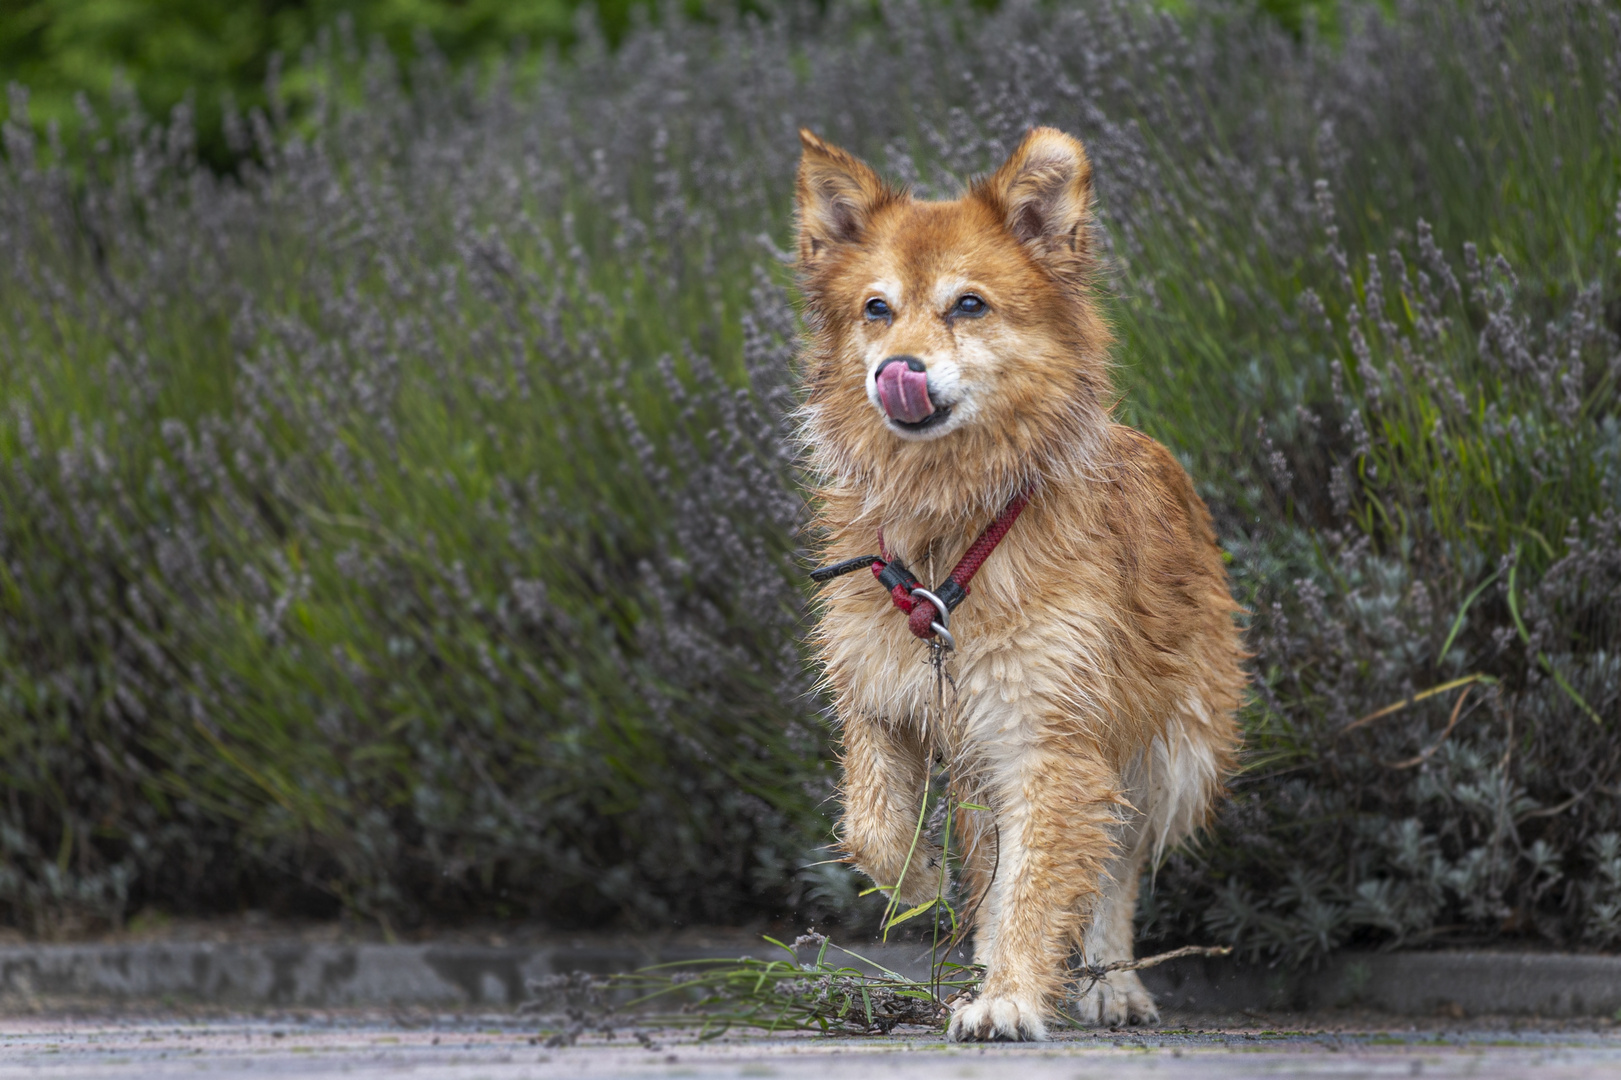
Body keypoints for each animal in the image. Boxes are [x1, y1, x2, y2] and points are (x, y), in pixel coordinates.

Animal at [794, 128, 1238, 1044]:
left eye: (968, 305)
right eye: (875, 309)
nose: (896, 369)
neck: (951, 535)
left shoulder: (1051, 735)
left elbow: (1038, 885)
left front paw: (1010, 995)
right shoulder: (884, 696)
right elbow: (871, 822)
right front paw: (919, 883)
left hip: (1170, 750)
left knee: (1116, 858)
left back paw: (1109, 984)